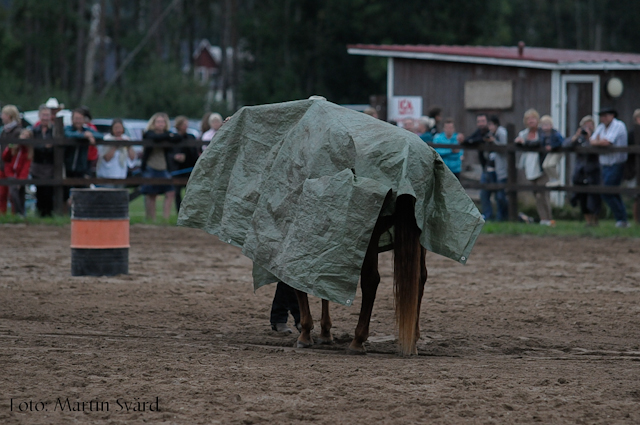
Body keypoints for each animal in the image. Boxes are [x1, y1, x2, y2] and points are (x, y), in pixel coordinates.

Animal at [292, 194, 428, 356]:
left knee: (371, 280)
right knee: (420, 278)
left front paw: (305, 333)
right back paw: (413, 340)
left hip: (369, 233)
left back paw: (357, 341)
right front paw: (324, 332)